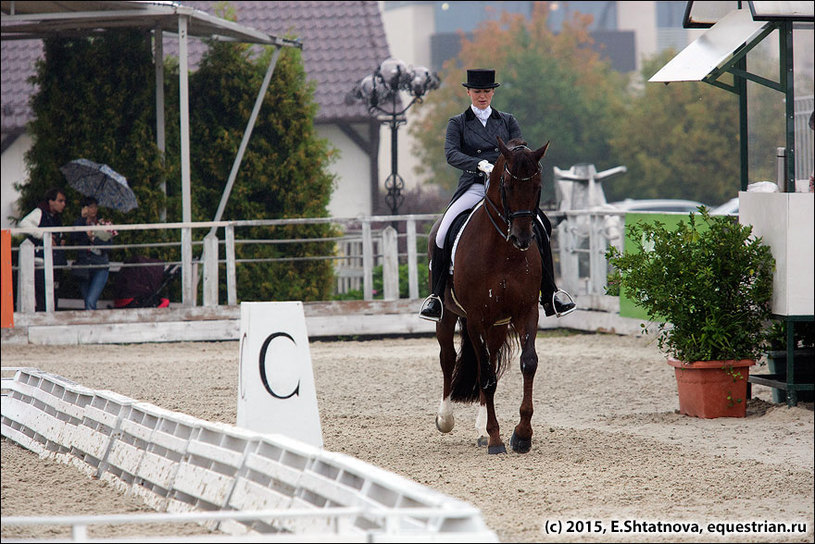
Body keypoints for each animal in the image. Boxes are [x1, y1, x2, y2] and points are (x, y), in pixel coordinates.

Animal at [428, 136, 548, 454]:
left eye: (538, 185)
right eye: (506, 185)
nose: (522, 238)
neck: (503, 251)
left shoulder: (526, 312)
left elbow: (528, 364)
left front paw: (521, 435)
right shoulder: (475, 318)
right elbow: (486, 378)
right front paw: (496, 438)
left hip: (497, 324)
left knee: (490, 360)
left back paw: (482, 427)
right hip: (449, 316)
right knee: (449, 358)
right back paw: (446, 419)